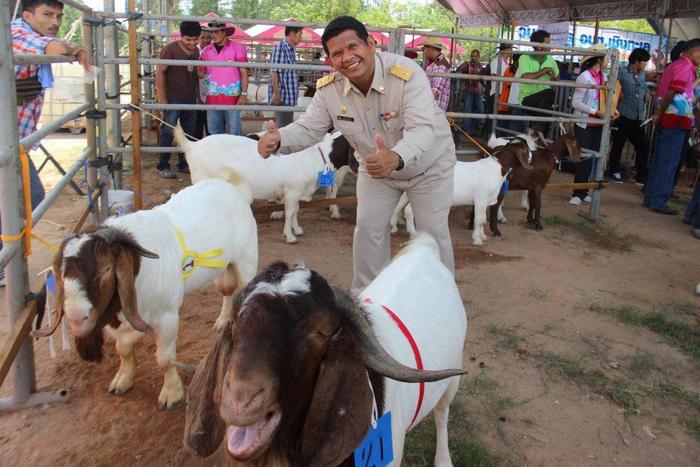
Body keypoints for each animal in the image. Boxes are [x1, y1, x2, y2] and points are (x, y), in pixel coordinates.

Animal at [34, 177, 258, 412]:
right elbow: (122, 349)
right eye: (62, 273)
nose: (77, 318)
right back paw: (223, 320)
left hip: (246, 260)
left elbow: (164, 359)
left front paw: (171, 394)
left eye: (106, 269)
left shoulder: (168, 317)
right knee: (227, 290)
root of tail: (231, 186)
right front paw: (123, 379)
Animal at [175, 127, 350, 245]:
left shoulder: (296, 193)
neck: (313, 160)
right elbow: (290, 212)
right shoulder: (291, 191)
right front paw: (289, 236)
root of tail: (192, 145)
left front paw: (297, 229)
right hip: (202, 179)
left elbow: (295, 211)